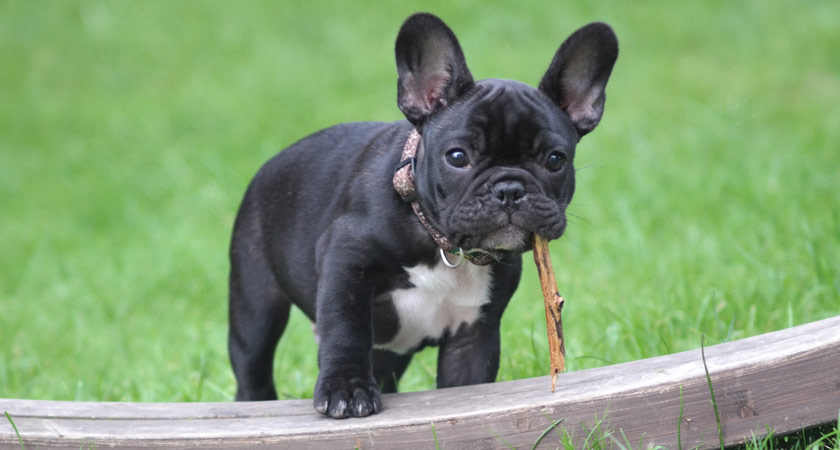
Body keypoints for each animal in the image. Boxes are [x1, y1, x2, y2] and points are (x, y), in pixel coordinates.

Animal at [228, 11, 616, 418]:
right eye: (458, 156)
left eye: (555, 160)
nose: (509, 189)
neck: (441, 242)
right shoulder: (345, 260)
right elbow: (346, 327)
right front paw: (346, 388)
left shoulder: (473, 334)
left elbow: (468, 383)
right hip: (255, 304)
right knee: (253, 362)